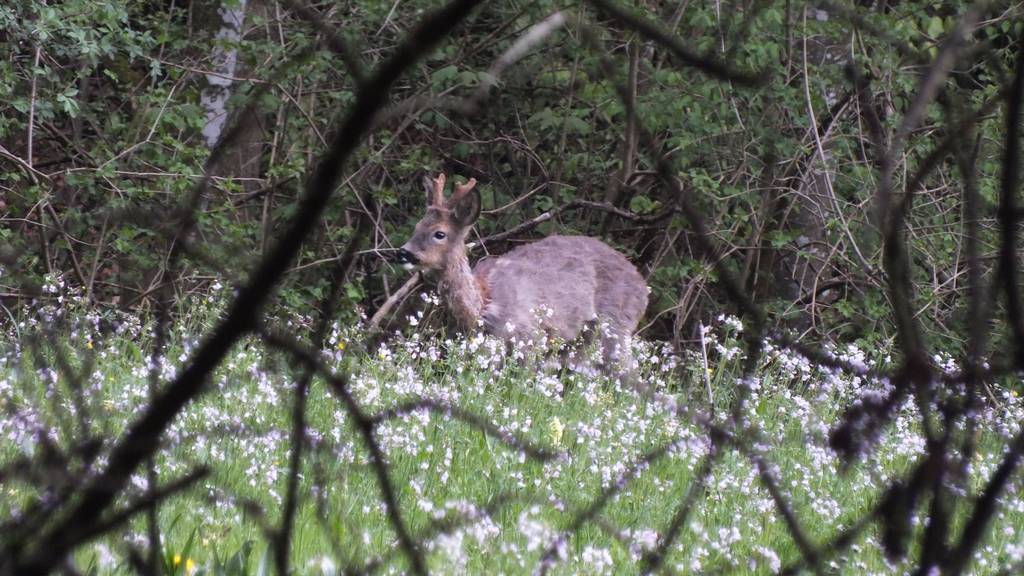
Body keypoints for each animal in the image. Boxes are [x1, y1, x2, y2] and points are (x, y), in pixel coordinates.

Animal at [397, 171, 647, 373]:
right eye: (417, 226)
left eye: (439, 233)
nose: (404, 253)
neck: (485, 303)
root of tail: (643, 287)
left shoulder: (529, 336)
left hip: (615, 325)